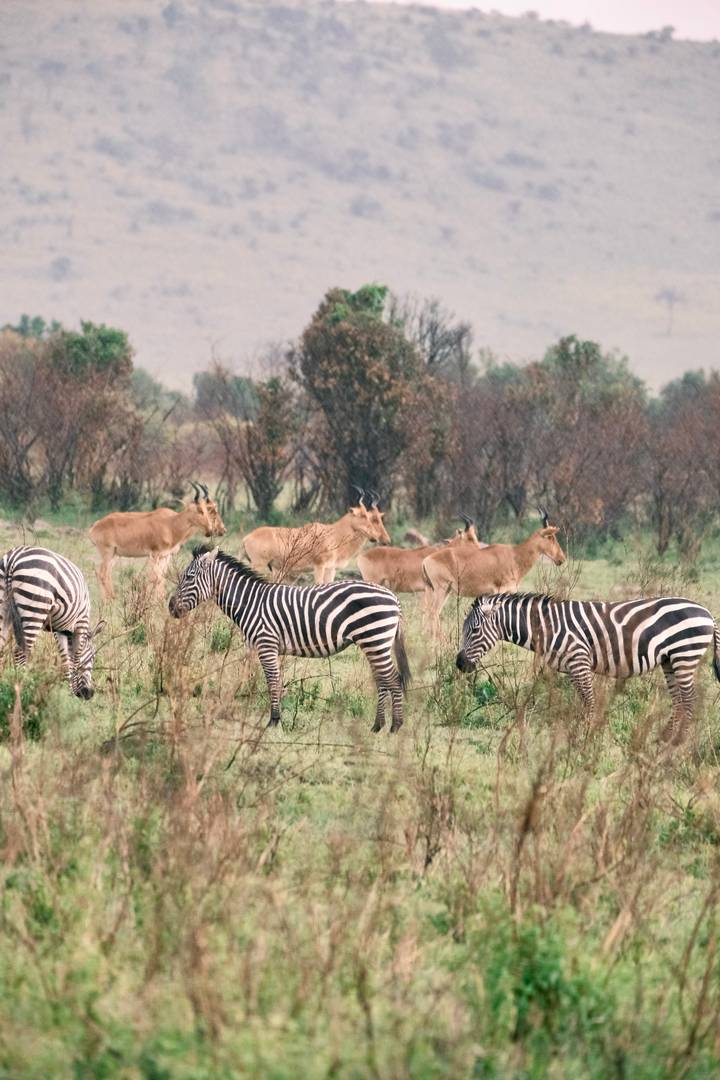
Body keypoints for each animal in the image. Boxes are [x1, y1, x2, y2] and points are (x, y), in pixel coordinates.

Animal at [0, 545, 104, 699]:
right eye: (93, 657)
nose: (88, 694)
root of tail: (14, 557)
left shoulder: (61, 629)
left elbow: (66, 660)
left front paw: (69, 692)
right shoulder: (81, 623)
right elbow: (76, 658)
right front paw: (73, 693)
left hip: (4, 606)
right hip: (35, 608)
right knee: (21, 652)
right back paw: (22, 687)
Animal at [168, 546, 411, 732]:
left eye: (188, 577)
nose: (170, 607)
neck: (251, 602)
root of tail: (394, 598)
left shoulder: (266, 644)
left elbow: (272, 682)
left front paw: (273, 721)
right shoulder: (269, 648)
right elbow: (274, 681)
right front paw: (276, 719)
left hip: (375, 639)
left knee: (393, 679)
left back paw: (395, 727)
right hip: (374, 643)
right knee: (383, 680)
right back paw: (377, 726)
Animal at [456, 592, 720, 739]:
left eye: (475, 630)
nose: (459, 664)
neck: (547, 628)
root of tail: (707, 612)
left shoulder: (579, 661)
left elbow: (589, 702)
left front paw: (587, 737)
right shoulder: (573, 667)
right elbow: (583, 702)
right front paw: (583, 733)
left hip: (685, 655)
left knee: (689, 700)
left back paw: (679, 742)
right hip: (670, 661)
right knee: (678, 701)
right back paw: (665, 739)